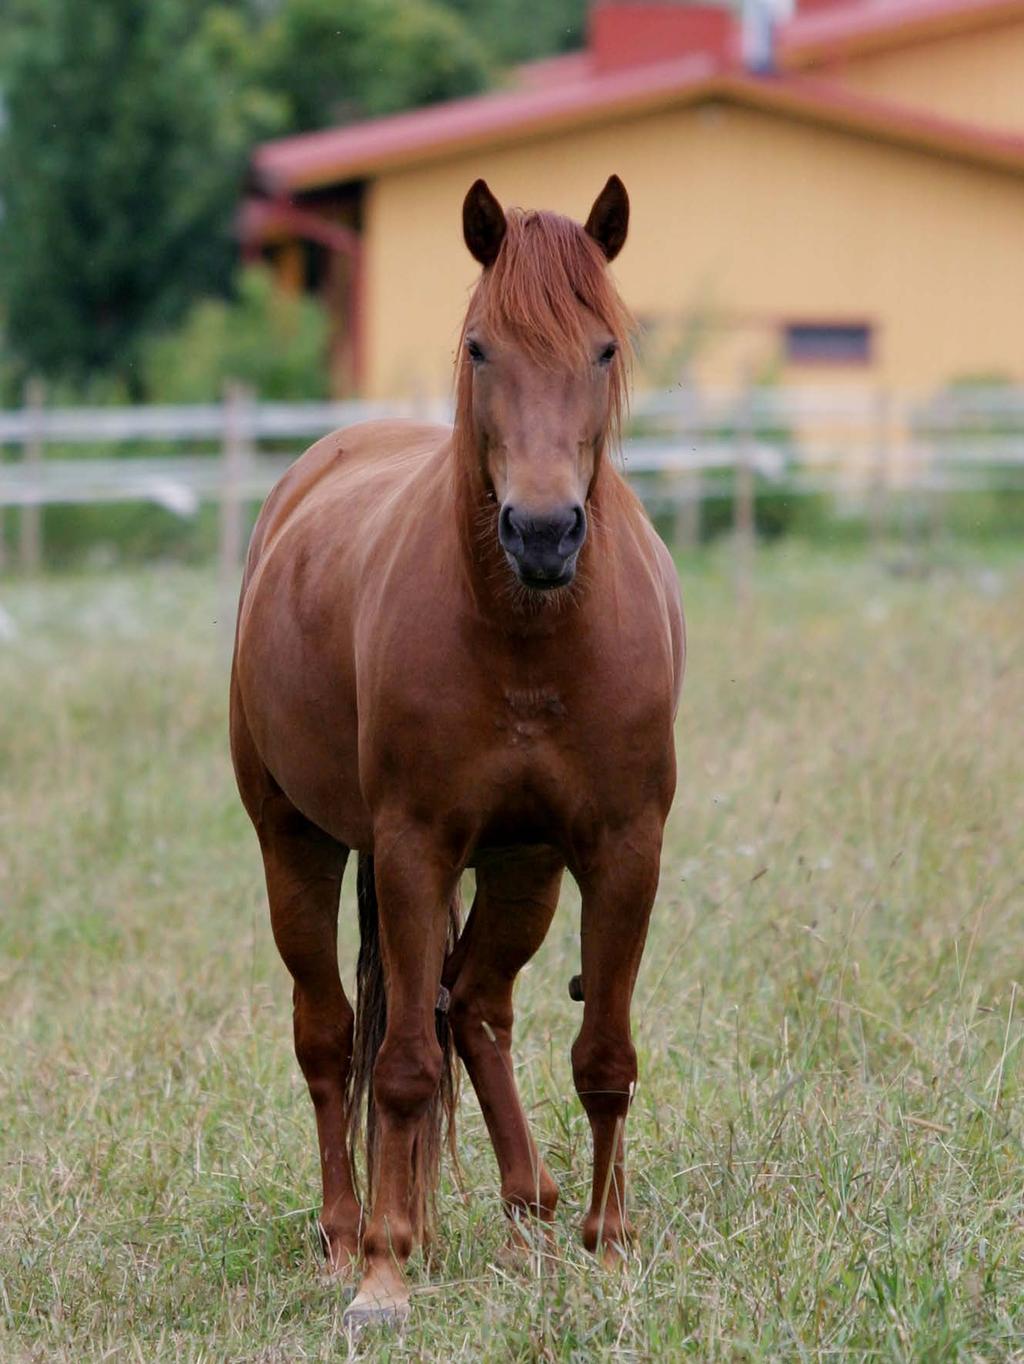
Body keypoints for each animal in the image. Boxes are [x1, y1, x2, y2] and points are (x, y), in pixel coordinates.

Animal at [227, 175, 684, 1325]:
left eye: (604, 347)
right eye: (482, 346)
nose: (543, 530)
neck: (528, 634)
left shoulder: (622, 847)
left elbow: (603, 1054)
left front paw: (610, 1247)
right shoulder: (413, 847)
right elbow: (395, 1067)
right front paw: (385, 1275)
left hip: (524, 868)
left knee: (473, 1007)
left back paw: (529, 1214)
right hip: (296, 843)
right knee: (333, 1035)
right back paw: (349, 1235)